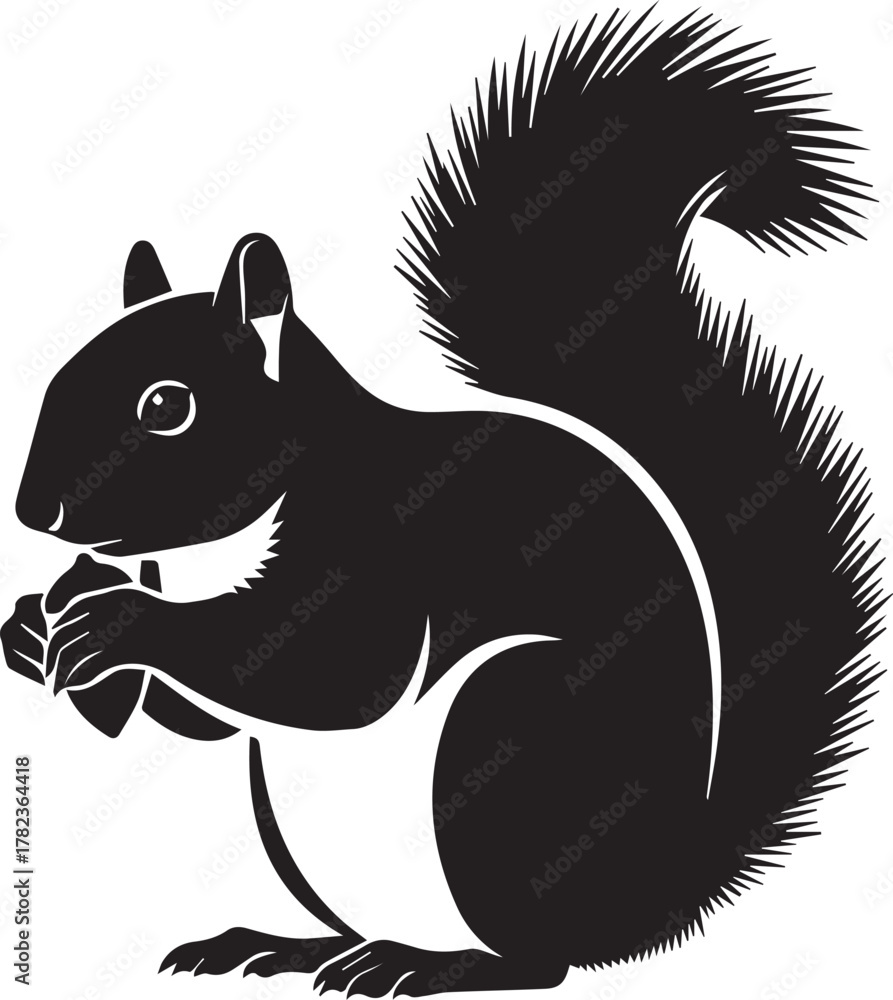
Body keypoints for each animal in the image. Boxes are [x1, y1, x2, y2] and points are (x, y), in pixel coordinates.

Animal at [2, 8, 884, 996]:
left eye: (167, 406)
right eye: (58, 379)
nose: (35, 515)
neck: (212, 557)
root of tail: (669, 888)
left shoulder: (371, 545)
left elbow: (334, 672)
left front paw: (119, 622)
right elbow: (204, 721)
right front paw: (30, 628)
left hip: (509, 737)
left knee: (542, 959)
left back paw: (424, 964)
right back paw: (285, 947)